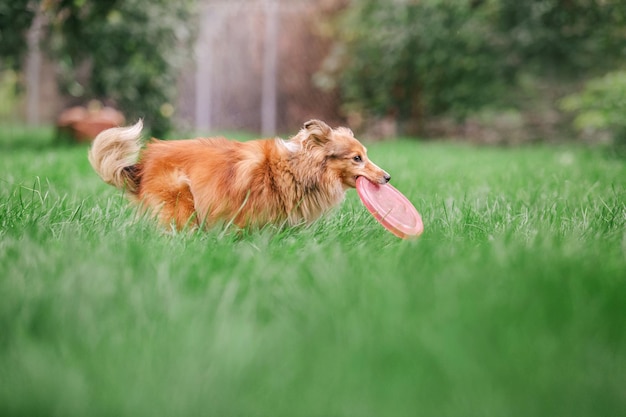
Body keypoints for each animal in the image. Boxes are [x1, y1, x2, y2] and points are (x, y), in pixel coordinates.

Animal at [88, 118, 388, 229]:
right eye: (357, 158)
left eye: (365, 154)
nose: (388, 178)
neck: (293, 168)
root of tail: (143, 163)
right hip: (182, 202)